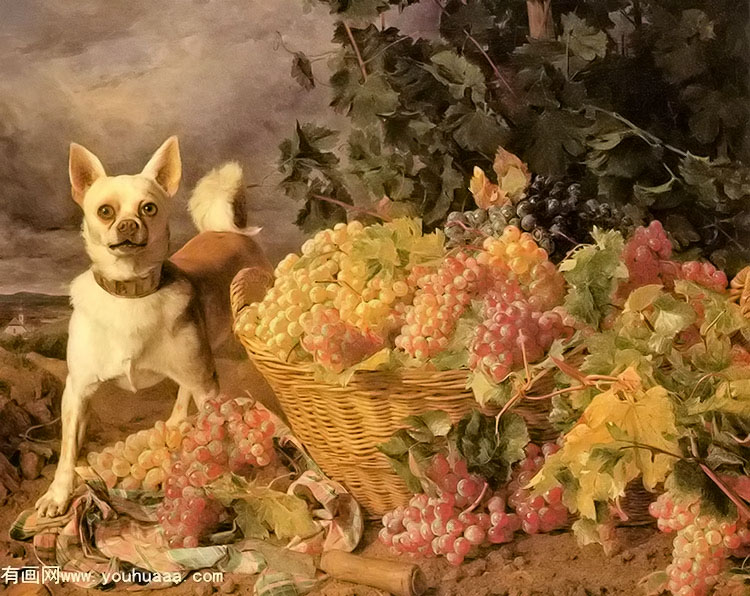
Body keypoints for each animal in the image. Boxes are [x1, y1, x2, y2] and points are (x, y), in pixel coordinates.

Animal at [35, 136, 274, 516]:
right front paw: (57, 496)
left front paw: (216, 486)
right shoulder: (77, 391)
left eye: (148, 208)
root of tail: (225, 230)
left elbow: (213, 439)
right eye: (105, 211)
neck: (130, 294)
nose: (129, 224)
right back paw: (175, 422)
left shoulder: (207, 387)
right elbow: (68, 451)